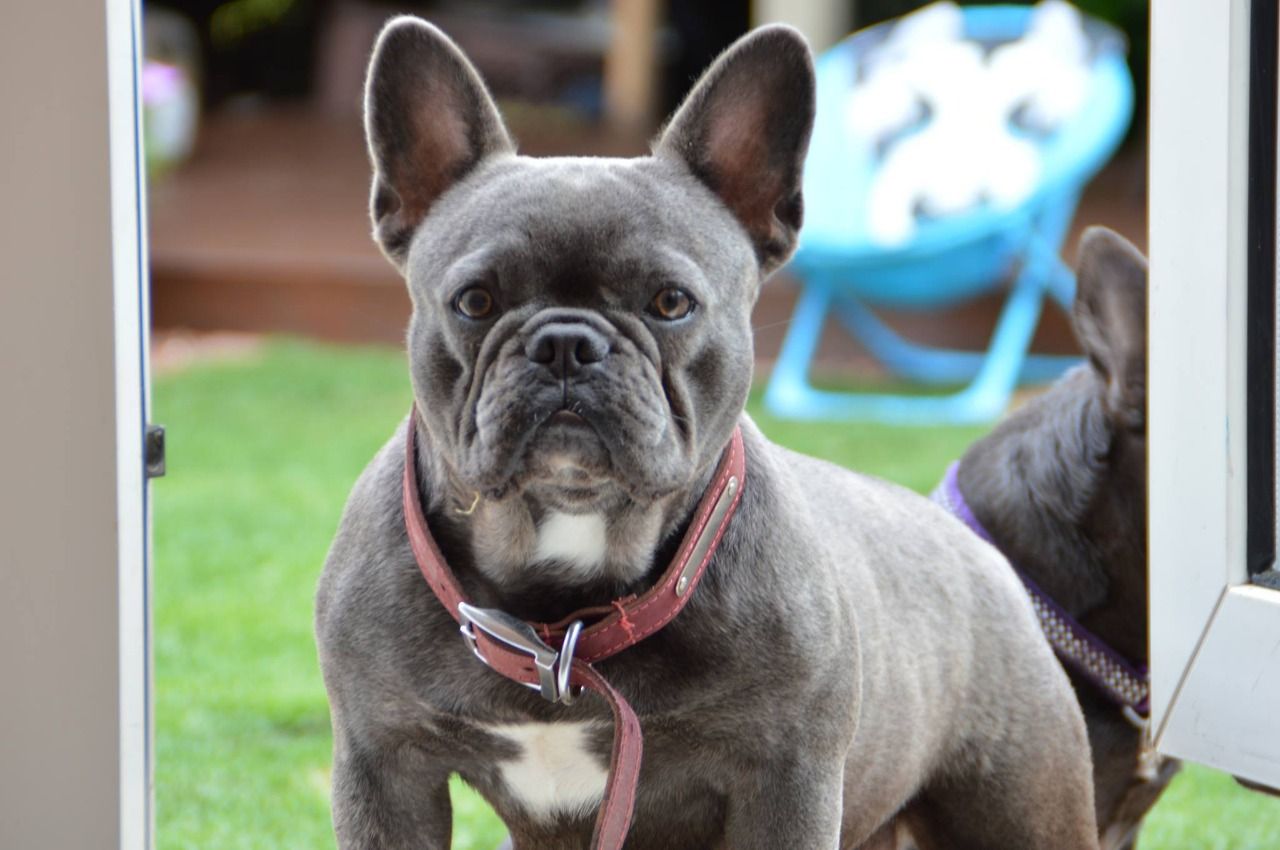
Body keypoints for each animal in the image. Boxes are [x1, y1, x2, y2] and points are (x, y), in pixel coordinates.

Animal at [312, 19, 1100, 850]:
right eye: (474, 300)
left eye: (671, 302)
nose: (566, 344)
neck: (564, 621)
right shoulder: (384, 769)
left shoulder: (785, 780)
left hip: (1020, 805)